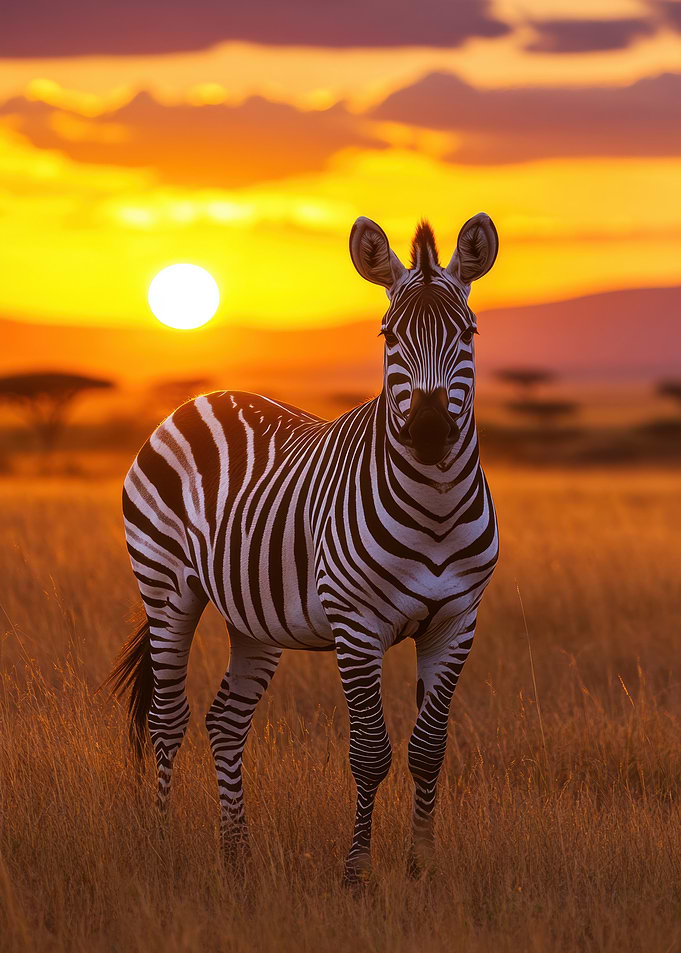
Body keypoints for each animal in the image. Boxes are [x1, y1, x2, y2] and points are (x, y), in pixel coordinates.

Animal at [107, 212, 499, 884]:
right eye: (388, 335)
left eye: (467, 333)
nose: (427, 433)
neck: (436, 508)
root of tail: (201, 398)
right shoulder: (356, 623)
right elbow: (370, 752)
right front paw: (357, 875)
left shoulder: (457, 621)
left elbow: (428, 750)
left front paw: (420, 871)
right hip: (164, 586)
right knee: (167, 718)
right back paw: (160, 846)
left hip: (253, 617)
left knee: (225, 723)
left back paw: (237, 856)